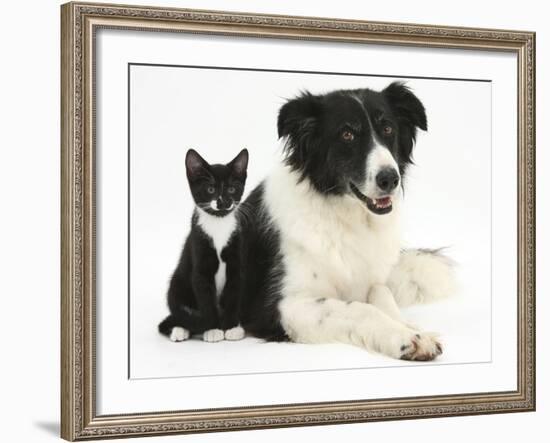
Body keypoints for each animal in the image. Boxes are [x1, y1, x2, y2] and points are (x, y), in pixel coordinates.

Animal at [156, 149, 249, 344]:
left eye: (231, 189)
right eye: (211, 189)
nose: (223, 202)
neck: (218, 224)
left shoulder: (236, 264)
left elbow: (233, 295)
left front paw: (230, 327)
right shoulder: (200, 263)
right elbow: (206, 300)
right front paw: (213, 329)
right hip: (176, 284)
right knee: (179, 311)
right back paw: (180, 330)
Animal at [238, 82, 458, 360]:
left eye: (388, 128)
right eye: (347, 134)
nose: (390, 179)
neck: (348, 218)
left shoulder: (372, 279)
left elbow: (383, 294)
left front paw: (412, 329)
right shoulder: (282, 306)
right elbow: (359, 309)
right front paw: (404, 338)